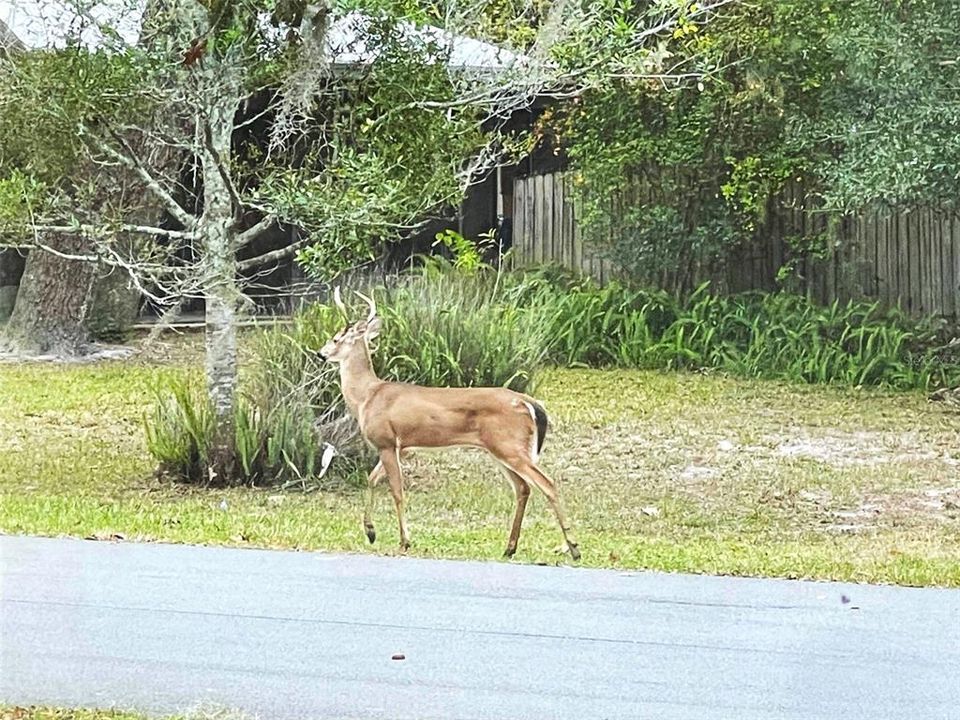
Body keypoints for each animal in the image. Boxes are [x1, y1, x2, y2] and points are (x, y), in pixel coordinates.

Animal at [318, 286, 580, 564]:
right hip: (501, 449)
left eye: (336, 339)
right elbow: (371, 479)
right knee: (523, 488)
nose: (320, 354)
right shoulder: (402, 447)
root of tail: (528, 402)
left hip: (509, 446)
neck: (368, 396)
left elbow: (397, 491)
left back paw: (573, 547)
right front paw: (370, 532)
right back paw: (510, 548)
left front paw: (404, 541)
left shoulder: (386, 441)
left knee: (547, 483)